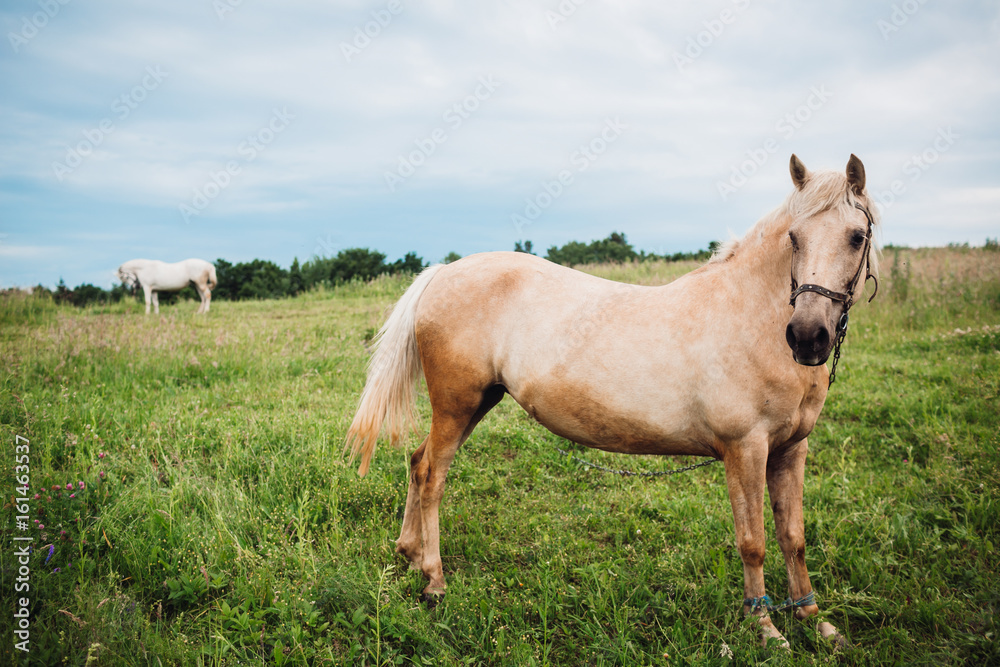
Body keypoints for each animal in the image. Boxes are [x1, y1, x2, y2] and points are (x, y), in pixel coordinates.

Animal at [348, 155, 880, 648]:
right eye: (794, 237)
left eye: (857, 237)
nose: (808, 336)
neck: (752, 315)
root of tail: (443, 273)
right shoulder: (745, 450)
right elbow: (754, 542)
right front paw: (766, 627)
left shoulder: (790, 450)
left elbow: (794, 537)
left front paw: (814, 619)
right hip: (457, 404)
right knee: (432, 474)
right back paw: (433, 579)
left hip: (476, 404)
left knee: (418, 463)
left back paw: (409, 554)